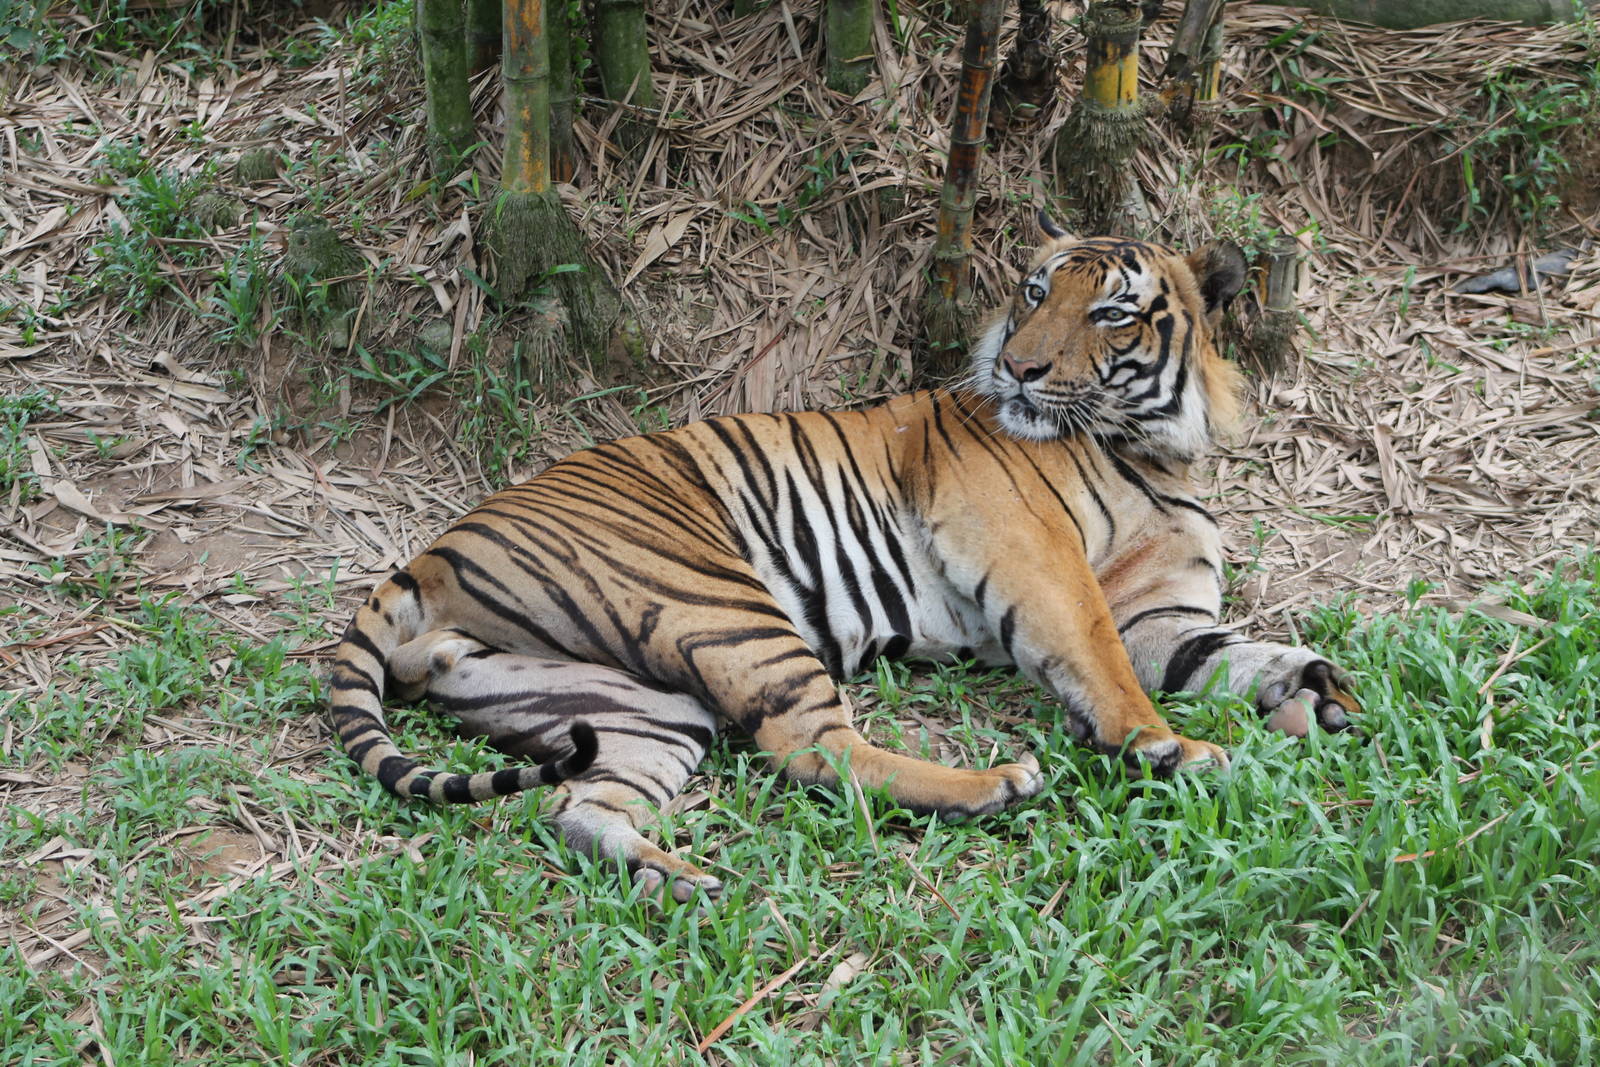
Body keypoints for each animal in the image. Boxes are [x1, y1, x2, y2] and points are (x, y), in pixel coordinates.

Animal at [328, 222, 1360, 903]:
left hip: (632, 704)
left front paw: (1319, 692)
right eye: (1035, 293)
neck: (1150, 446)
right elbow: (1098, 657)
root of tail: (434, 552)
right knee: (810, 746)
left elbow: (1230, 652)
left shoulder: (1162, 613)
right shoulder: (1033, 549)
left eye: (1110, 311)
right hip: (722, 600)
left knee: (581, 806)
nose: (1019, 368)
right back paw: (994, 785)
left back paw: (676, 876)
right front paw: (1165, 745)